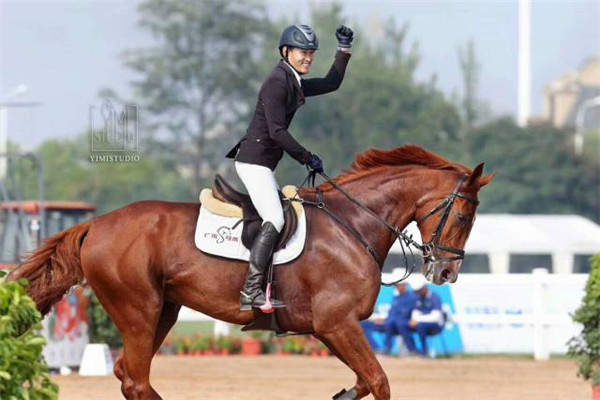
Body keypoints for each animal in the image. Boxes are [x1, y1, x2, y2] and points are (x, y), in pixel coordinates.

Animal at [8, 145, 493, 400]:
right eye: (464, 216)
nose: (446, 273)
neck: (353, 224)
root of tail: (97, 224)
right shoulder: (336, 324)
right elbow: (378, 381)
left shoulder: (331, 329)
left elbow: (362, 383)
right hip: (139, 311)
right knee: (138, 379)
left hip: (162, 311)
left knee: (131, 375)